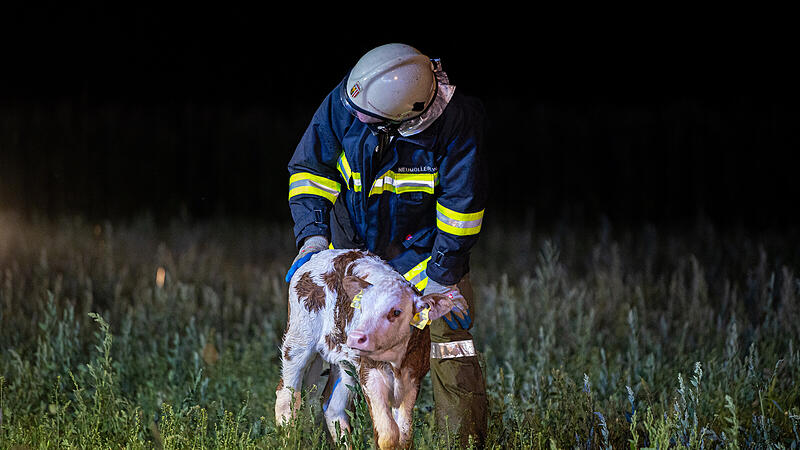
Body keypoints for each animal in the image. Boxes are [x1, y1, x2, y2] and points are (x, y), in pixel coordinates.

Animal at [276, 248, 466, 448]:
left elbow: (405, 434)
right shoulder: (369, 373)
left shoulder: (412, 377)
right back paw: (288, 440)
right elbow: (388, 434)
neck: (395, 363)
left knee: (333, 407)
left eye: (396, 312)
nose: (355, 337)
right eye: (362, 308)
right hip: (298, 341)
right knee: (287, 396)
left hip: (344, 362)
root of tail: (319, 254)